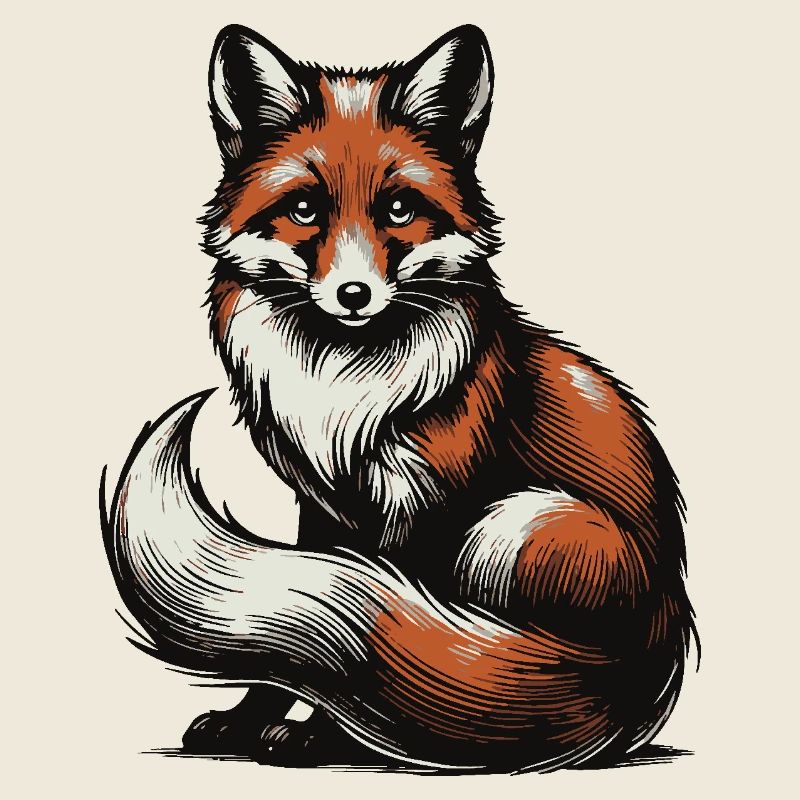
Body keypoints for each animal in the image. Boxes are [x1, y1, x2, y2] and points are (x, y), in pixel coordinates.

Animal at [101, 24, 698, 772]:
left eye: (399, 209)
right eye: (304, 209)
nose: (354, 295)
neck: (345, 389)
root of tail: (654, 656)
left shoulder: (429, 505)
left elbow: (379, 651)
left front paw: (327, 735)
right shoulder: (323, 507)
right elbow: (296, 646)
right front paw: (251, 718)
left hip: (518, 524)